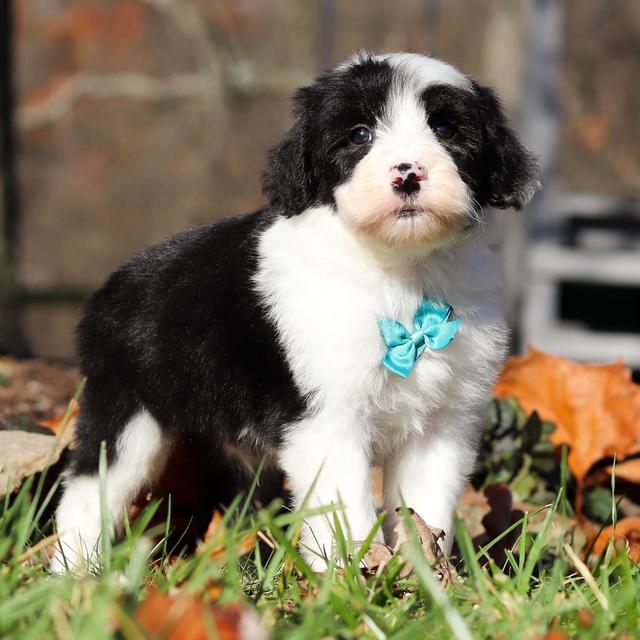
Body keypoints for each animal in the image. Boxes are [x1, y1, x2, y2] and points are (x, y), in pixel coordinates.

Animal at [51, 50, 540, 568]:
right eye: (359, 135)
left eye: (445, 130)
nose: (408, 173)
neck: (400, 276)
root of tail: (110, 289)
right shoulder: (326, 420)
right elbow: (345, 510)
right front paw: (353, 576)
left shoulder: (443, 422)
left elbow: (424, 505)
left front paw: (421, 570)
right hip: (124, 412)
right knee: (89, 491)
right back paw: (75, 572)